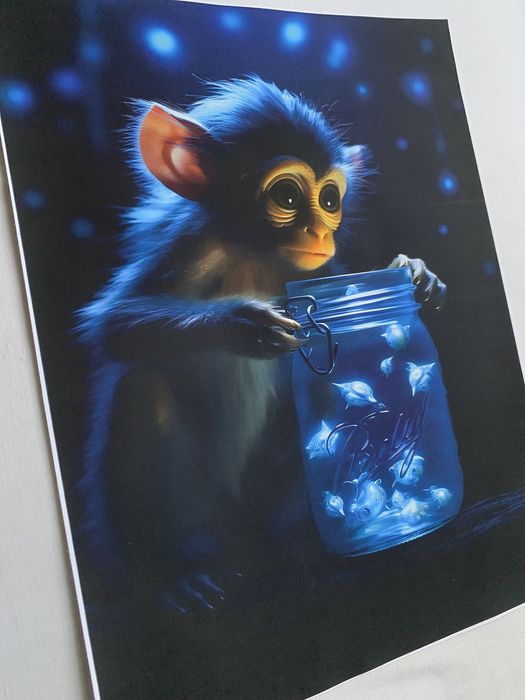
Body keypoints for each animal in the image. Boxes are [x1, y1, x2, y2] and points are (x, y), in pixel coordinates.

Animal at [77, 76, 445, 613]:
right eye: (288, 197)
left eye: (330, 201)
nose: (319, 231)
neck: (252, 251)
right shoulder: (189, 245)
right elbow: (113, 326)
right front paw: (242, 323)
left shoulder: (318, 271)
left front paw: (417, 274)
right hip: (188, 513)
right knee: (142, 385)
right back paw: (175, 573)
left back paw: (290, 548)